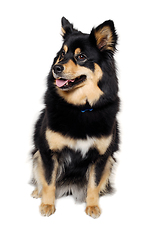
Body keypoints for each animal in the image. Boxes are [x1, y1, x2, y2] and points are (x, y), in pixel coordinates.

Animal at [30, 16, 119, 218]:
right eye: (62, 54)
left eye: (81, 57)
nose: (56, 68)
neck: (80, 108)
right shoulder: (48, 151)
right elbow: (48, 181)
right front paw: (48, 205)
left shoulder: (101, 156)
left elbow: (93, 184)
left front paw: (92, 206)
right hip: (37, 154)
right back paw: (37, 192)